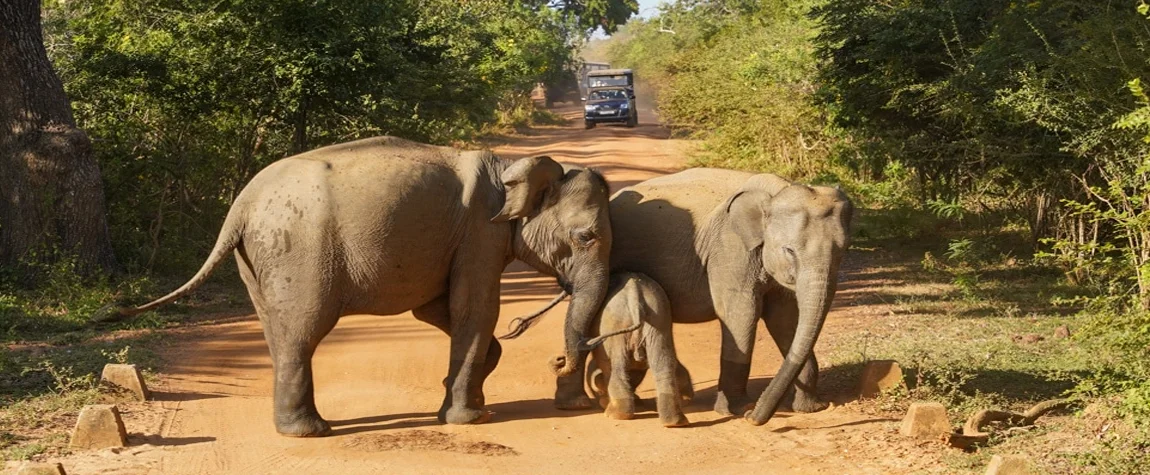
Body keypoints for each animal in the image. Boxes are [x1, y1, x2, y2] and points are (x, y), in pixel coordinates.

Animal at [517, 167, 851, 425]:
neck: (777, 190)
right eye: (790, 251)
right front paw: (735, 410)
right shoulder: (729, 248)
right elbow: (740, 313)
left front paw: (810, 408)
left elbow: (786, 319)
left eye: (844, 250)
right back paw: (580, 404)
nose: (754, 419)